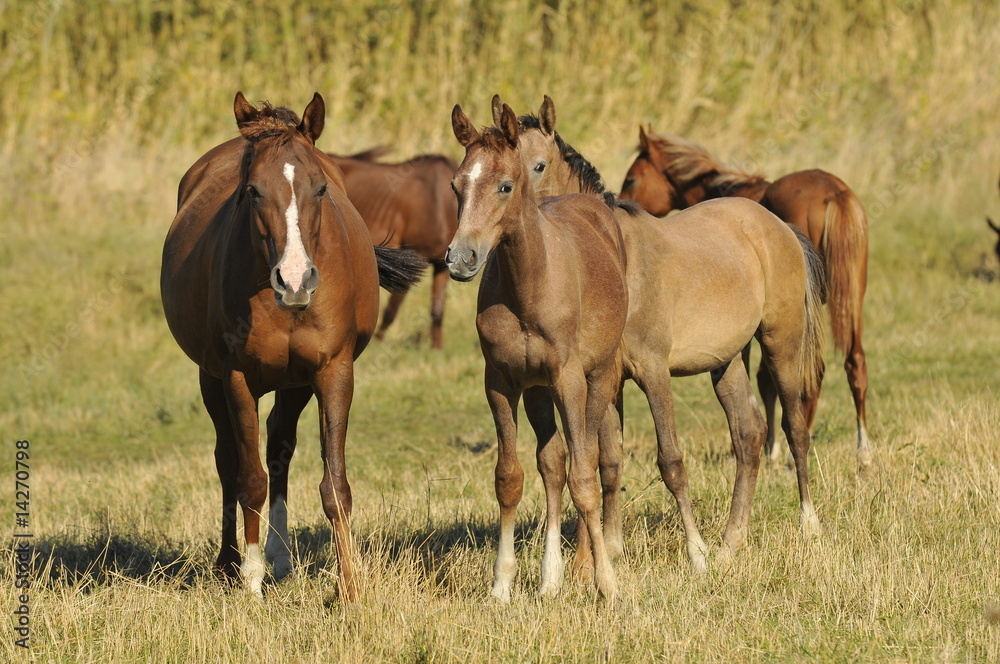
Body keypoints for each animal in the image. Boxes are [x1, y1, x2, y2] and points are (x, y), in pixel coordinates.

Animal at [159, 93, 422, 600]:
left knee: (280, 446)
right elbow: (249, 479)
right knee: (229, 460)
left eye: (320, 189)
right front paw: (251, 581)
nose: (296, 280)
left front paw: (349, 587)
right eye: (252, 191)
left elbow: (334, 486)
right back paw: (231, 563)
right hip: (211, 378)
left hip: (295, 382)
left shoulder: (333, 371)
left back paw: (280, 557)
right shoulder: (236, 377)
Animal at [326, 149, 458, 348]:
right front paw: (377, 344)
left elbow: (437, 312)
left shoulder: (441, 266)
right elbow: (391, 310)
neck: (439, 203)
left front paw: (437, 349)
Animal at [450, 102, 628, 600]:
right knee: (553, 463)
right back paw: (551, 577)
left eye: (504, 186)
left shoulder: (569, 379)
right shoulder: (501, 382)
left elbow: (584, 479)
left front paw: (607, 583)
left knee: (588, 460)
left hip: (597, 379)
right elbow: (510, 478)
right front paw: (501, 585)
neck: (529, 286)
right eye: (456, 185)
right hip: (537, 391)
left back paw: (585, 567)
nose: (460, 259)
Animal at [620, 130, 872, 470]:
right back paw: (863, 451)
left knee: (813, 373)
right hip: (850, 300)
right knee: (854, 363)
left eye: (632, 178)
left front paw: (758, 449)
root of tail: (836, 193)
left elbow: (758, 379)